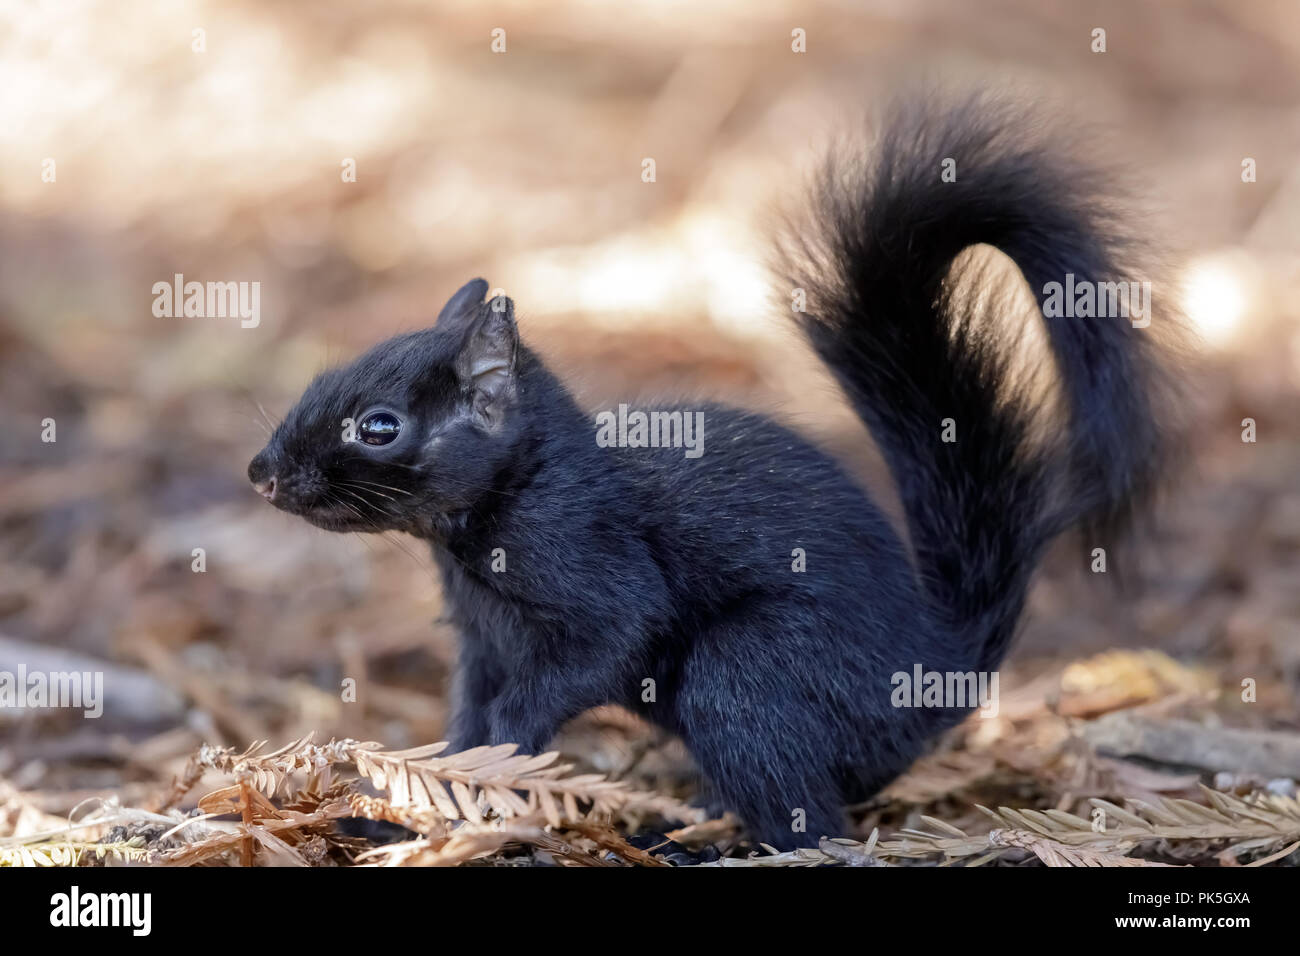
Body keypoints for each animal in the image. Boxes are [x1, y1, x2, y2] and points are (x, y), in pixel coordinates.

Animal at [250, 93, 1180, 848]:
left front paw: (504, 768)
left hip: (746, 674)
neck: (503, 504)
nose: (263, 474)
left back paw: (702, 842)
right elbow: (466, 721)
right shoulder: (482, 642)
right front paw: (418, 803)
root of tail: (933, 676)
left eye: (380, 426)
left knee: (811, 820)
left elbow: (598, 649)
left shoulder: (591, 566)